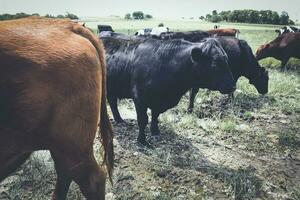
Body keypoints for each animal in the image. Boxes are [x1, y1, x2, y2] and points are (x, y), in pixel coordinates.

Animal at [101, 32, 234, 146]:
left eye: (227, 61)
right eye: (215, 65)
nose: (232, 86)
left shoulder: (158, 101)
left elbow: (155, 116)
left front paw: (155, 131)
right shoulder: (139, 98)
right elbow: (143, 120)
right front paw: (142, 141)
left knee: (112, 102)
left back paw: (119, 120)